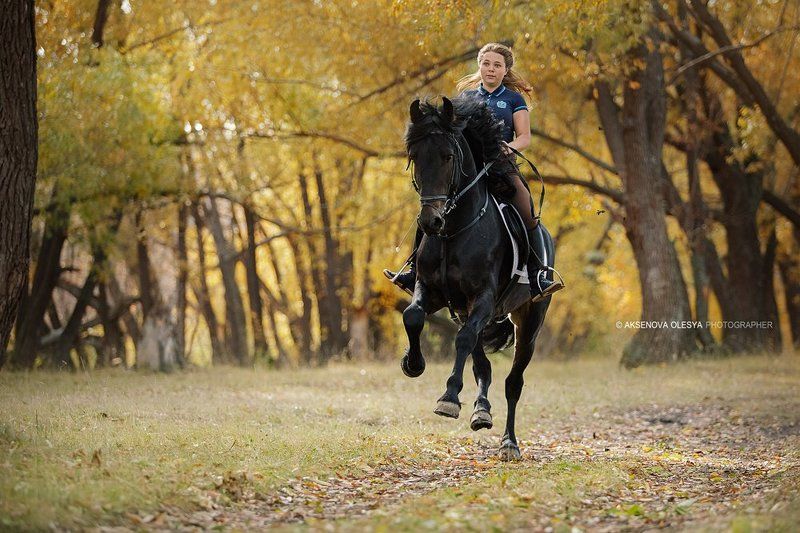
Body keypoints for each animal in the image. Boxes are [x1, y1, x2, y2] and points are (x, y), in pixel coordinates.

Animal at [400, 95, 556, 461]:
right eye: (415, 157)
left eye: (448, 156)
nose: (430, 222)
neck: (454, 231)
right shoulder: (431, 291)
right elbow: (412, 316)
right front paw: (412, 363)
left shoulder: (483, 298)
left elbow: (462, 342)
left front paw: (448, 399)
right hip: (467, 313)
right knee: (482, 364)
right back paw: (481, 411)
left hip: (528, 321)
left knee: (513, 381)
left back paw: (509, 443)